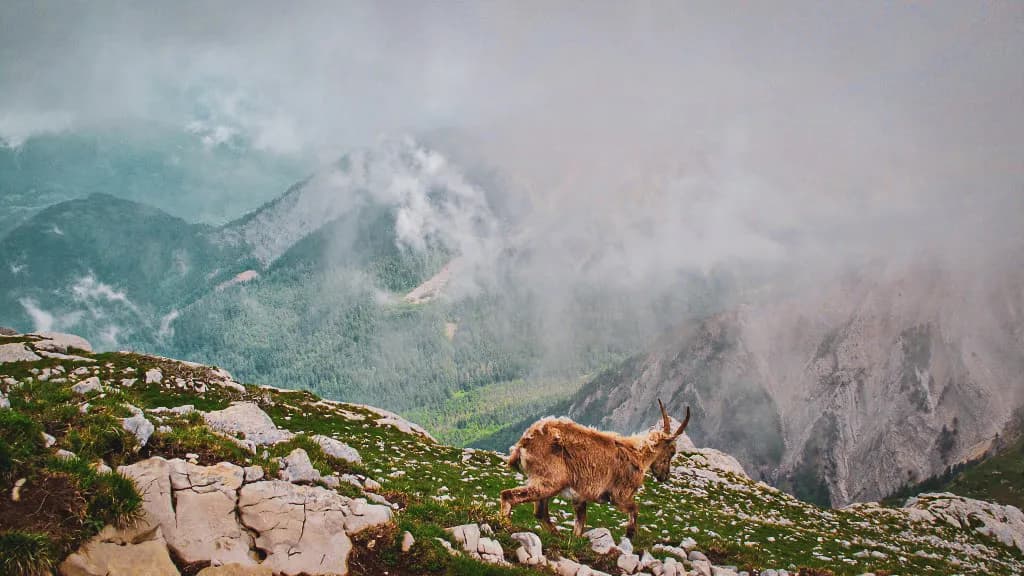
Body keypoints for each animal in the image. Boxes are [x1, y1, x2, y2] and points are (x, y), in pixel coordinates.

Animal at [500, 400, 690, 538]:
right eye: (672, 452)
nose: (664, 476)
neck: (638, 455)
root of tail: (526, 440)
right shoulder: (619, 495)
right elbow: (634, 509)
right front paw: (630, 534)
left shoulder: (579, 497)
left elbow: (580, 522)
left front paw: (575, 540)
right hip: (550, 480)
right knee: (509, 495)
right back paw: (506, 525)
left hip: (546, 482)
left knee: (540, 512)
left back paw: (558, 536)